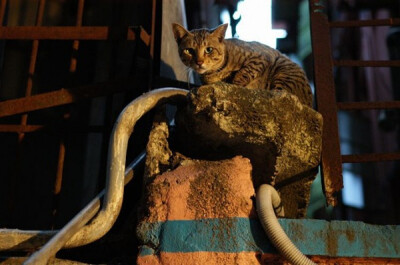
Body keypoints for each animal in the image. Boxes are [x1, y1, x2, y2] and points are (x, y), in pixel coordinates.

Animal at [172, 22, 312, 105]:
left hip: (284, 71)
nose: (199, 62)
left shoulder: (259, 58)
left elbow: (245, 72)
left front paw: (235, 85)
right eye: (189, 51)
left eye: (209, 50)